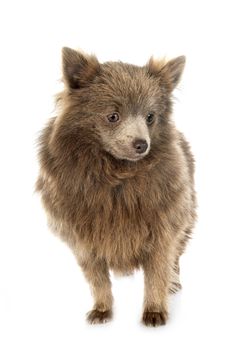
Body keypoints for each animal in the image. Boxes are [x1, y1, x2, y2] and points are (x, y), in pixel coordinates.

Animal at [35, 47, 197, 326]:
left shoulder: (163, 229)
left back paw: (174, 284)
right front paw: (102, 310)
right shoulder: (84, 240)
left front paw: (155, 310)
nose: (142, 144)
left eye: (150, 117)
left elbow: (156, 274)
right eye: (112, 116)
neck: (116, 175)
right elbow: (98, 281)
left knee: (176, 257)